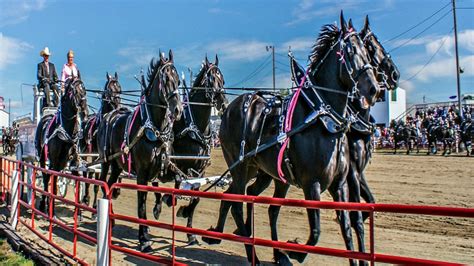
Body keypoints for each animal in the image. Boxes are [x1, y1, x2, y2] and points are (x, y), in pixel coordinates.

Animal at [34, 76, 88, 214]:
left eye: (85, 90)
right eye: (75, 91)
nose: (85, 111)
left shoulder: (71, 162)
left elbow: (77, 182)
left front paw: (79, 212)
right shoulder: (54, 161)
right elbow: (52, 184)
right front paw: (51, 210)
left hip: (60, 163)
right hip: (44, 158)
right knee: (46, 177)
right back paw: (43, 204)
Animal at [78, 72, 123, 208]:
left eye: (120, 89)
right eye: (110, 89)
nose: (118, 105)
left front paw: (116, 190)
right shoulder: (99, 154)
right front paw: (89, 199)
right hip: (87, 151)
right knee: (87, 172)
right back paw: (86, 197)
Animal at [96, 51, 183, 252]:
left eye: (178, 81)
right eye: (166, 79)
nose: (178, 110)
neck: (152, 127)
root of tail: (109, 116)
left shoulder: (164, 165)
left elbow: (177, 179)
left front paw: (165, 202)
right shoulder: (142, 173)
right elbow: (141, 204)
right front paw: (144, 239)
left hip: (117, 165)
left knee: (110, 185)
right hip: (106, 161)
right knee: (103, 183)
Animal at [155, 55, 229, 244]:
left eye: (223, 80)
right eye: (211, 80)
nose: (224, 104)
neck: (195, 129)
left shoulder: (199, 171)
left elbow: (195, 199)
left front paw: (191, 233)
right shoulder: (180, 166)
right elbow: (177, 188)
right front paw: (170, 200)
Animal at [201, 13, 382, 266]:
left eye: (367, 51)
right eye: (351, 50)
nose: (374, 88)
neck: (321, 116)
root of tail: (230, 109)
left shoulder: (340, 184)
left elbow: (347, 225)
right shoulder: (312, 184)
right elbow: (315, 231)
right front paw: (295, 251)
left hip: (262, 172)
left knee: (246, 198)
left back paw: (230, 237)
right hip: (239, 167)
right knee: (238, 202)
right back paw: (253, 252)